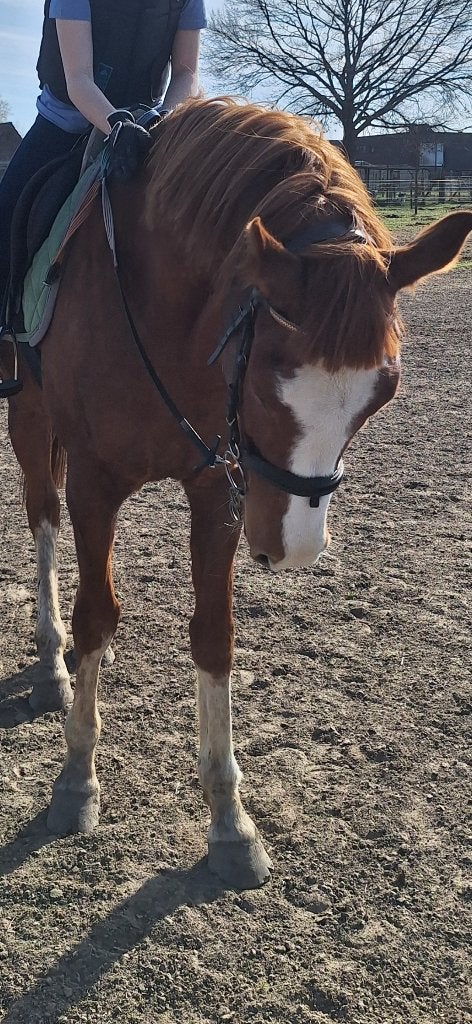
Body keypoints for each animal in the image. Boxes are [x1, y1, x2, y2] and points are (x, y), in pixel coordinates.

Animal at [2, 98, 471, 889]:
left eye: (384, 389)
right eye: (270, 367)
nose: (296, 549)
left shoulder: (217, 486)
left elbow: (215, 635)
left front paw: (230, 819)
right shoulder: (96, 480)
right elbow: (96, 613)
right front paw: (77, 781)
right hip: (30, 416)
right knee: (42, 520)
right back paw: (50, 656)